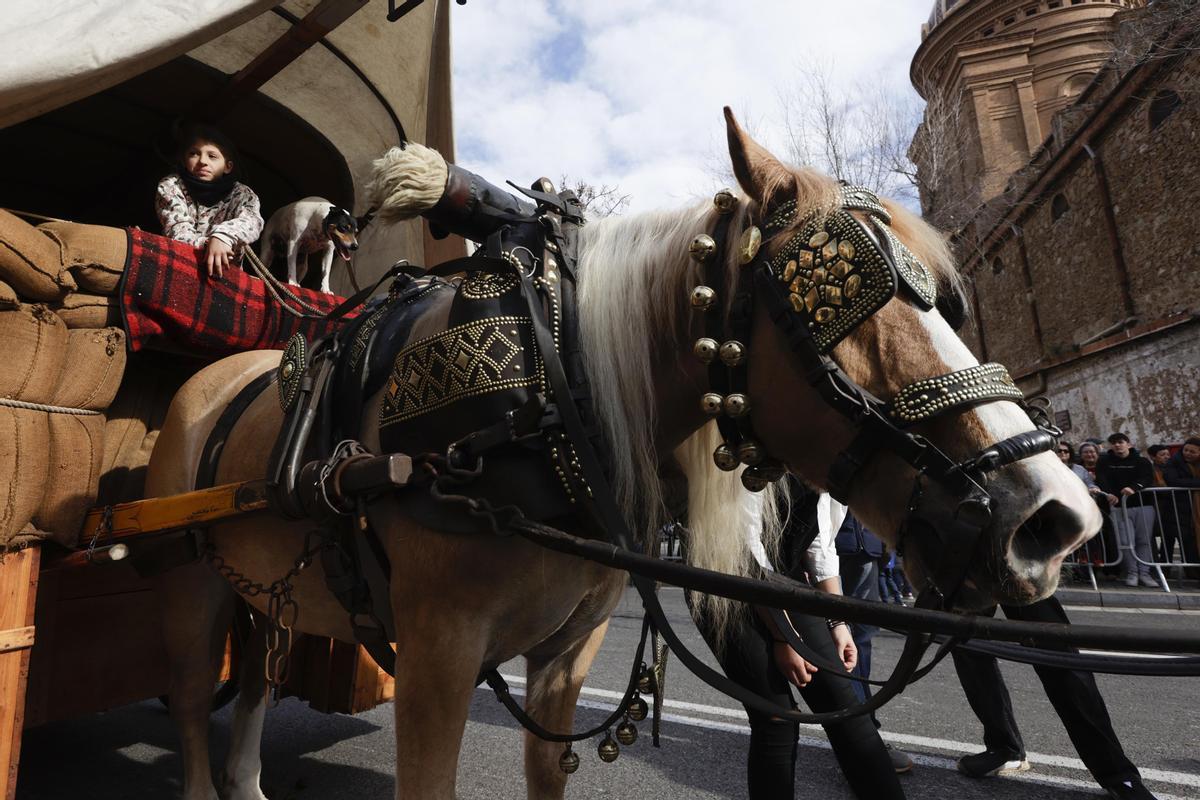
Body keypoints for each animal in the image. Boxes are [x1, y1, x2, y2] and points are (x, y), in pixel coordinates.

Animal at [145, 112, 1099, 800]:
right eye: (842, 304)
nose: (1057, 518)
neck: (549, 394)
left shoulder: (568, 649)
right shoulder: (435, 653)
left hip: (266, 583)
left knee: (257, 673)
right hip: (188, 582)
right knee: (192, 706)